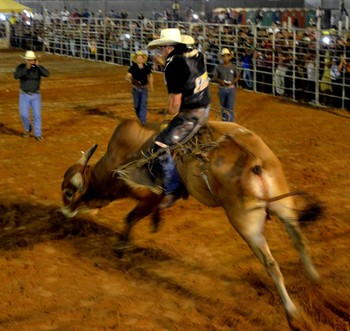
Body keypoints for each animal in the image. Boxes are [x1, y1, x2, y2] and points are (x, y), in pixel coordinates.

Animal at [60, 119, 322, 326]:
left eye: (69, 192)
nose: (64, 212)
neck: (124, 156)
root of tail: (255, 160)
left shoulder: (151, 196)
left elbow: (131, 217)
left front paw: (121, 246)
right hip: (282, 203)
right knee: (299, 239)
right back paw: (314, 280)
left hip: (245, 221)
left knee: (271, 264)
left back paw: (293, 314)